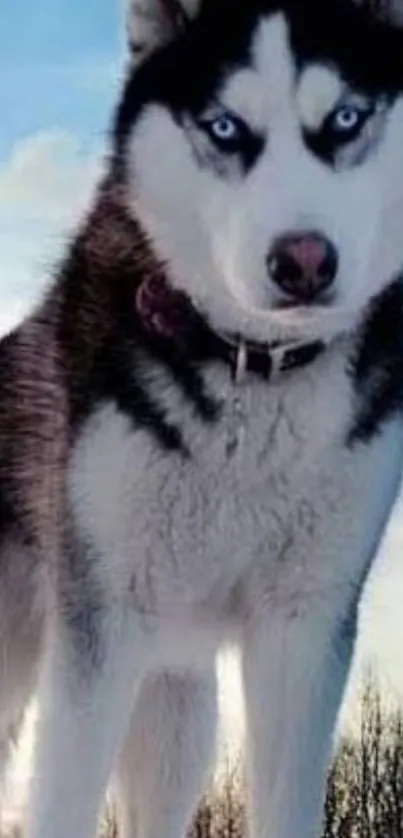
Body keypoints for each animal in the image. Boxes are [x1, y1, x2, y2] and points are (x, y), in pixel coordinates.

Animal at [0, 1, 403, 838]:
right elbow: (62, 800)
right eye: (224, 127)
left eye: (345, 118)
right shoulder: (100, 620)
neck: (252, 366)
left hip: (176, 706)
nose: (303, 261)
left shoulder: (304, 624)